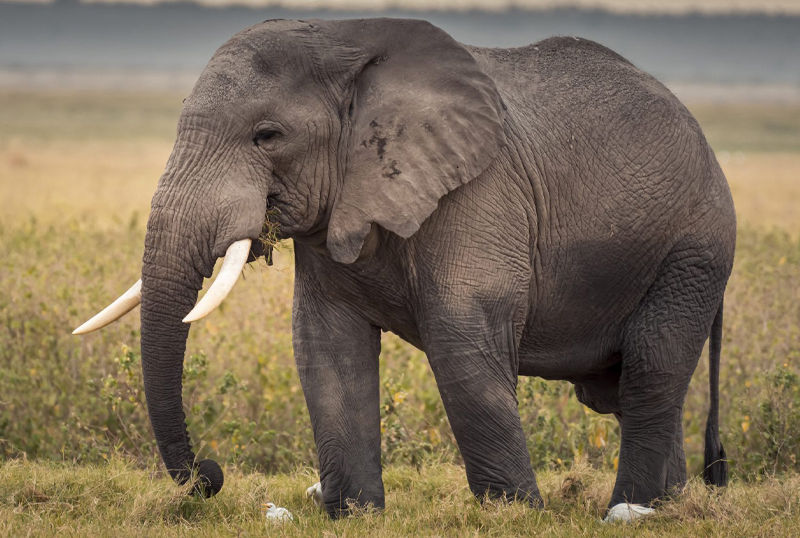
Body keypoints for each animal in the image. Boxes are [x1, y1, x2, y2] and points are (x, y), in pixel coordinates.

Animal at [74, 18, 735, 521]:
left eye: (267, 135)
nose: (209, 475)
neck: (343, 45)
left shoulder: (478, 191)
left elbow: (462, 340)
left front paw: (514, 515)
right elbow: (325, 347)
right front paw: (351, 514)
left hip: (693, 254)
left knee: (651, 366)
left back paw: (631, 510)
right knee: (619, 390)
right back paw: (669, 504)